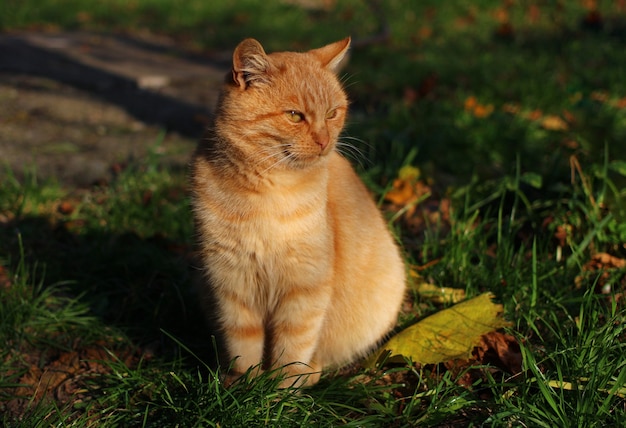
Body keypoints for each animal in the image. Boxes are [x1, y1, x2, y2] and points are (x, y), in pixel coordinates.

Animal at [190, 37, 404, 388]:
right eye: (294, 116)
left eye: (332, 113)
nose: (324, 140)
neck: (268, 195)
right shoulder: (232, 284)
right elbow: (243, 344)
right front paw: (246, 386)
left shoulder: (304, 288)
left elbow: (293, 347)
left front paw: (280, 391)